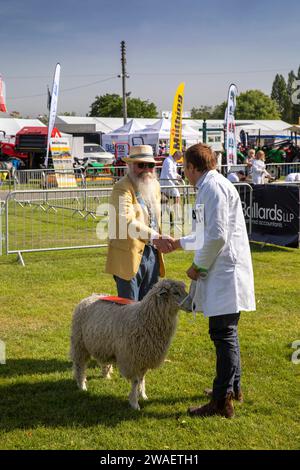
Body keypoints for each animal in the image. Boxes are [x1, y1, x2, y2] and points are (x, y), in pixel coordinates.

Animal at [69, 280, 190, 410]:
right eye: (175, 293)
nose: (193, 305)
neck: (145, 319)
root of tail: (91, 296)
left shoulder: (144, 357)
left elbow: (142, 378)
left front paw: (142, 395)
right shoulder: (132, 359)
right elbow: (136, 381)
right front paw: (134, 402)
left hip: (102, 344)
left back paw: (106, 375)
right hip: (79, 343)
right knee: (79, 365)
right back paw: (82, 385)